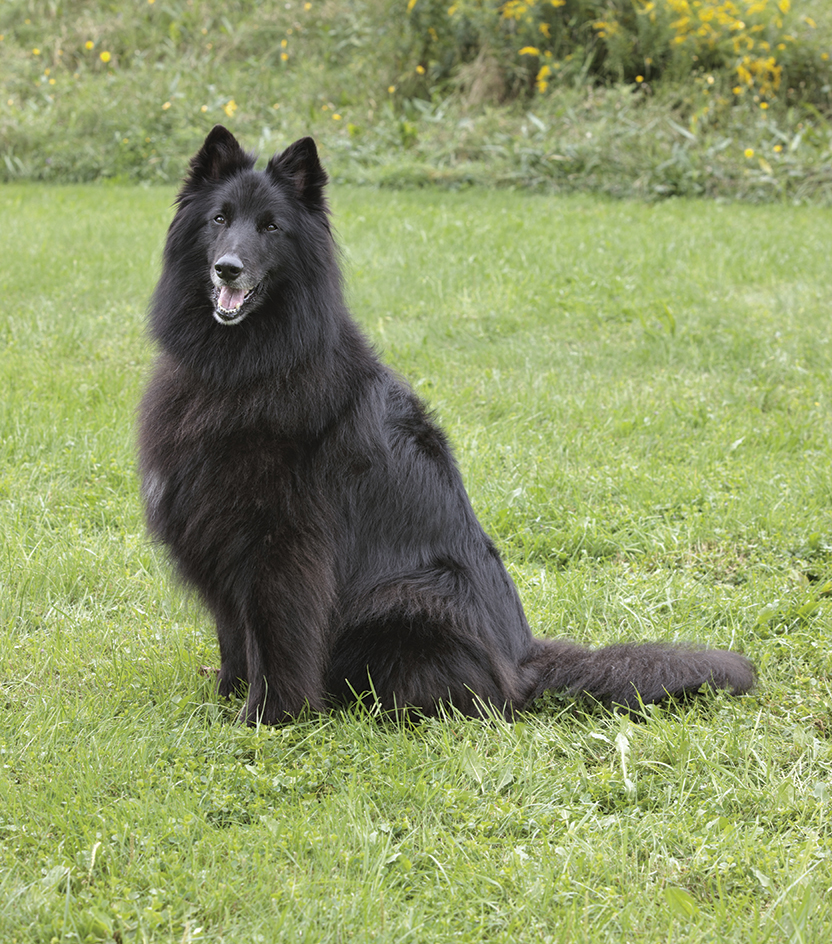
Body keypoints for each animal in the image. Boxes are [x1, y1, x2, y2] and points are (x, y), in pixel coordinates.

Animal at [140, 127, 756, 724]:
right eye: (219, 219)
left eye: (271, 227)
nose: (228, 267)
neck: (245, 364)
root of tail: (521, 662)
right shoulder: (219, 533)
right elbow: (233, 633)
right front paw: (226, 697)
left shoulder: (283, 547)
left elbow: (274, 637)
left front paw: (266, 718)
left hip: (412, 595)